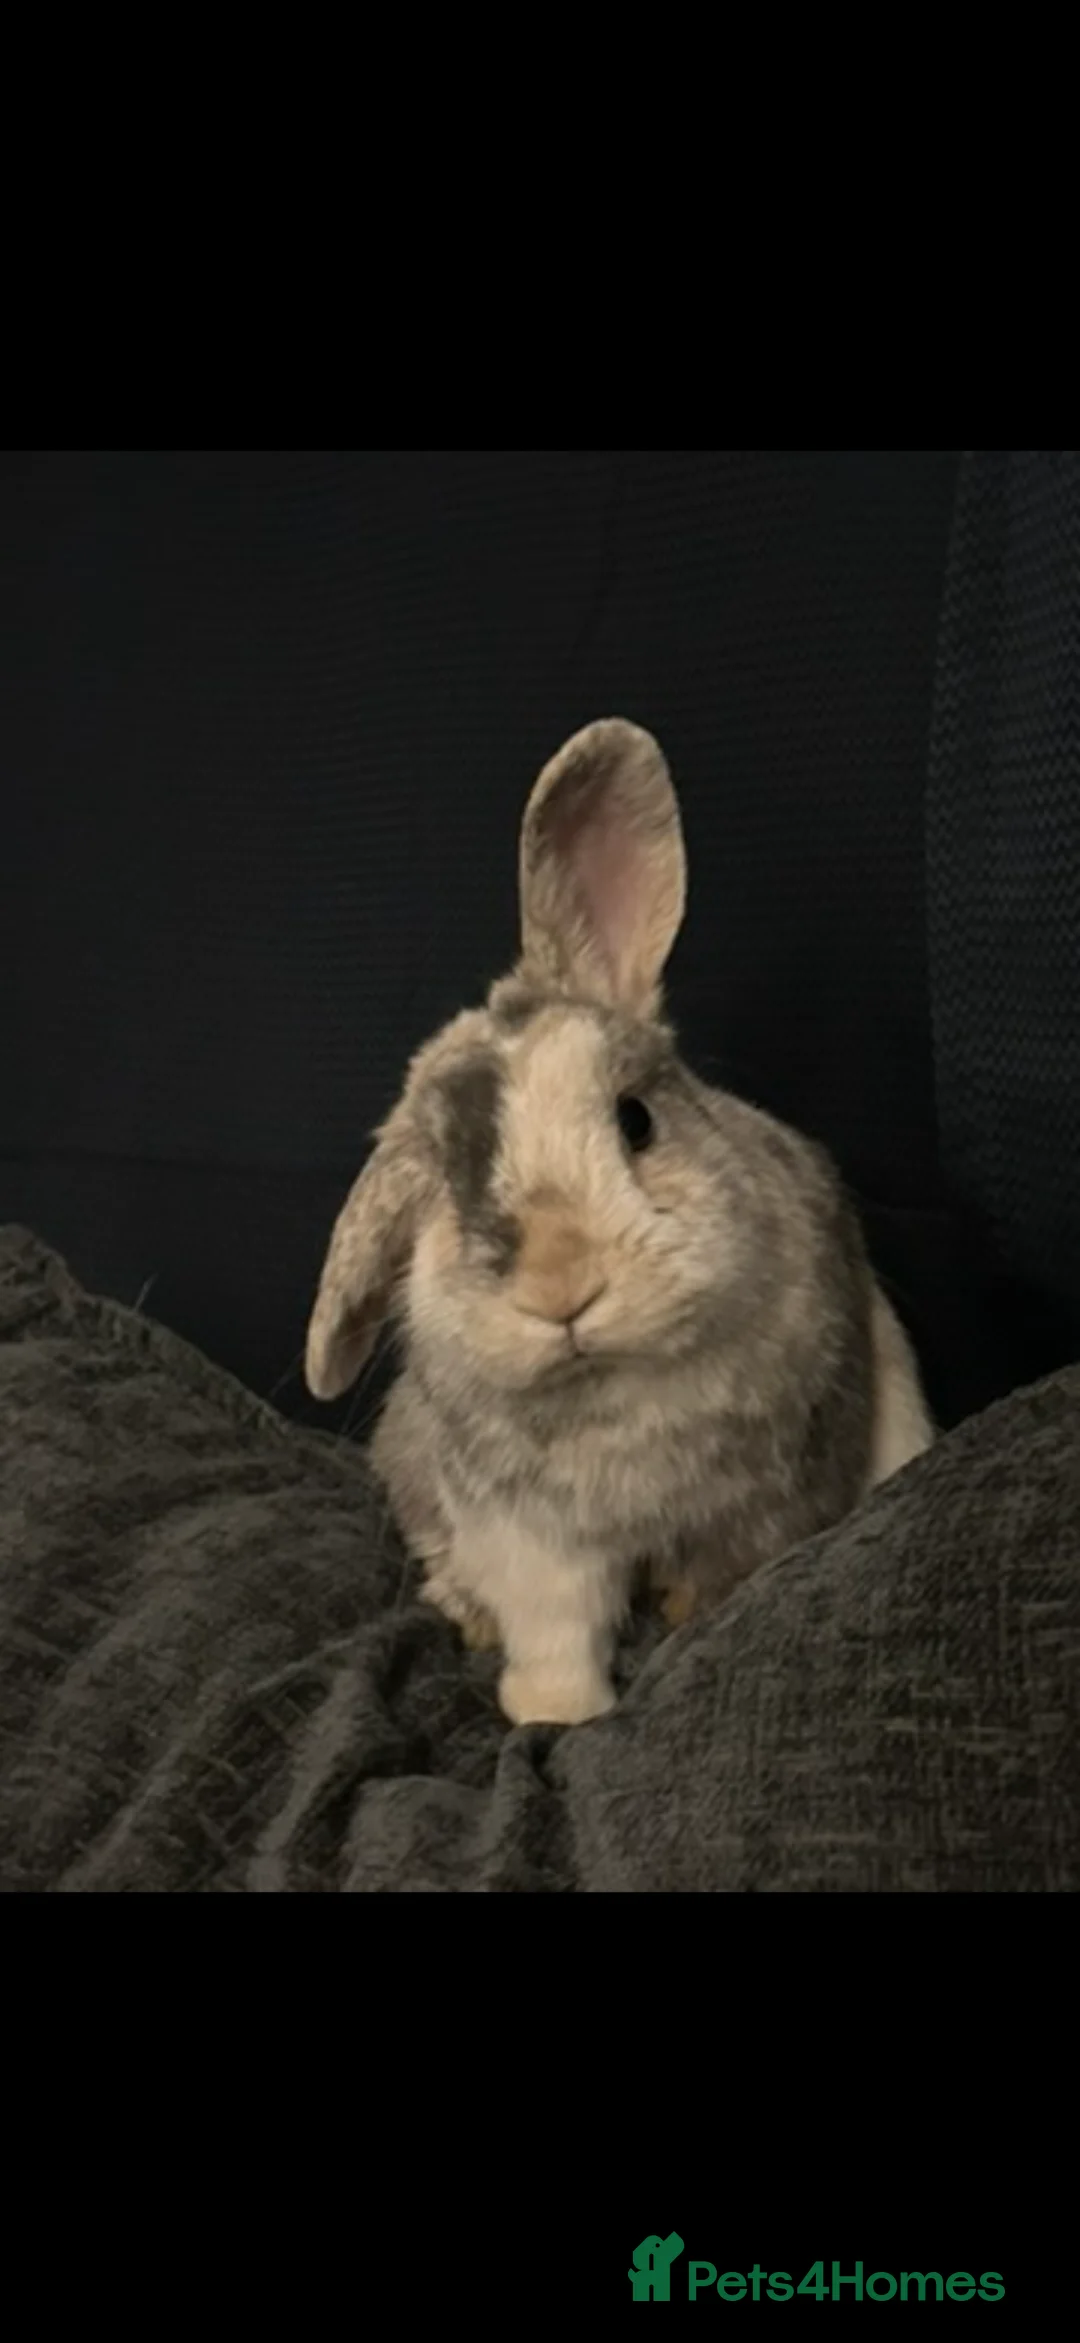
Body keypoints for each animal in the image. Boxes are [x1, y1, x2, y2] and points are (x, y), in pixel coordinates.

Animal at [304, 718, 934, 1727]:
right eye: (444, 1183)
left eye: (636, 1119)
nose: (561, 1286)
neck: (613, 1394)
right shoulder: (532, 1540)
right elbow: (557, 1633)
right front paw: (555, 1715)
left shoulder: (772, 1498)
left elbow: (720, 1589)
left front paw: (673, 1631)